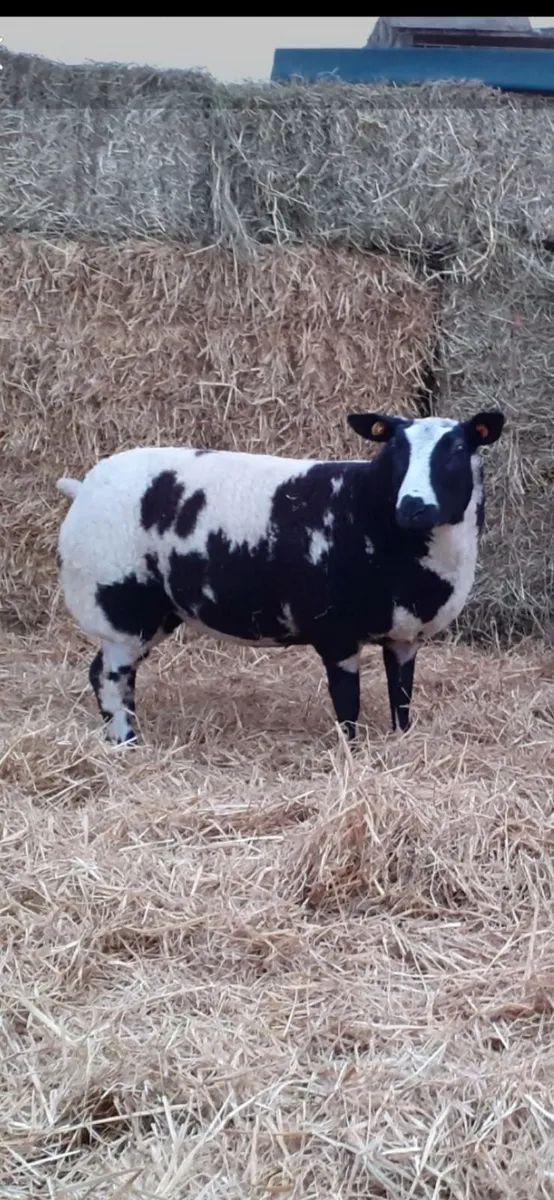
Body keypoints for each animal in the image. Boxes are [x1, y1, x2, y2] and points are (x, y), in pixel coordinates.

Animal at [56, 408, 505, 744]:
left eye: (458, 448)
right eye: (395, 447)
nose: (414, 506)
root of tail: (83, 488)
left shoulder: (404, 636)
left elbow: (402, 697)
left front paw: (400, 743)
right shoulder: (336, 632)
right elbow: (348, 706)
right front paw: (352, 756)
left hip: (155, 614)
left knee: (113, 675)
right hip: (118, 605)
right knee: (109, 677)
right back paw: (126, 742)